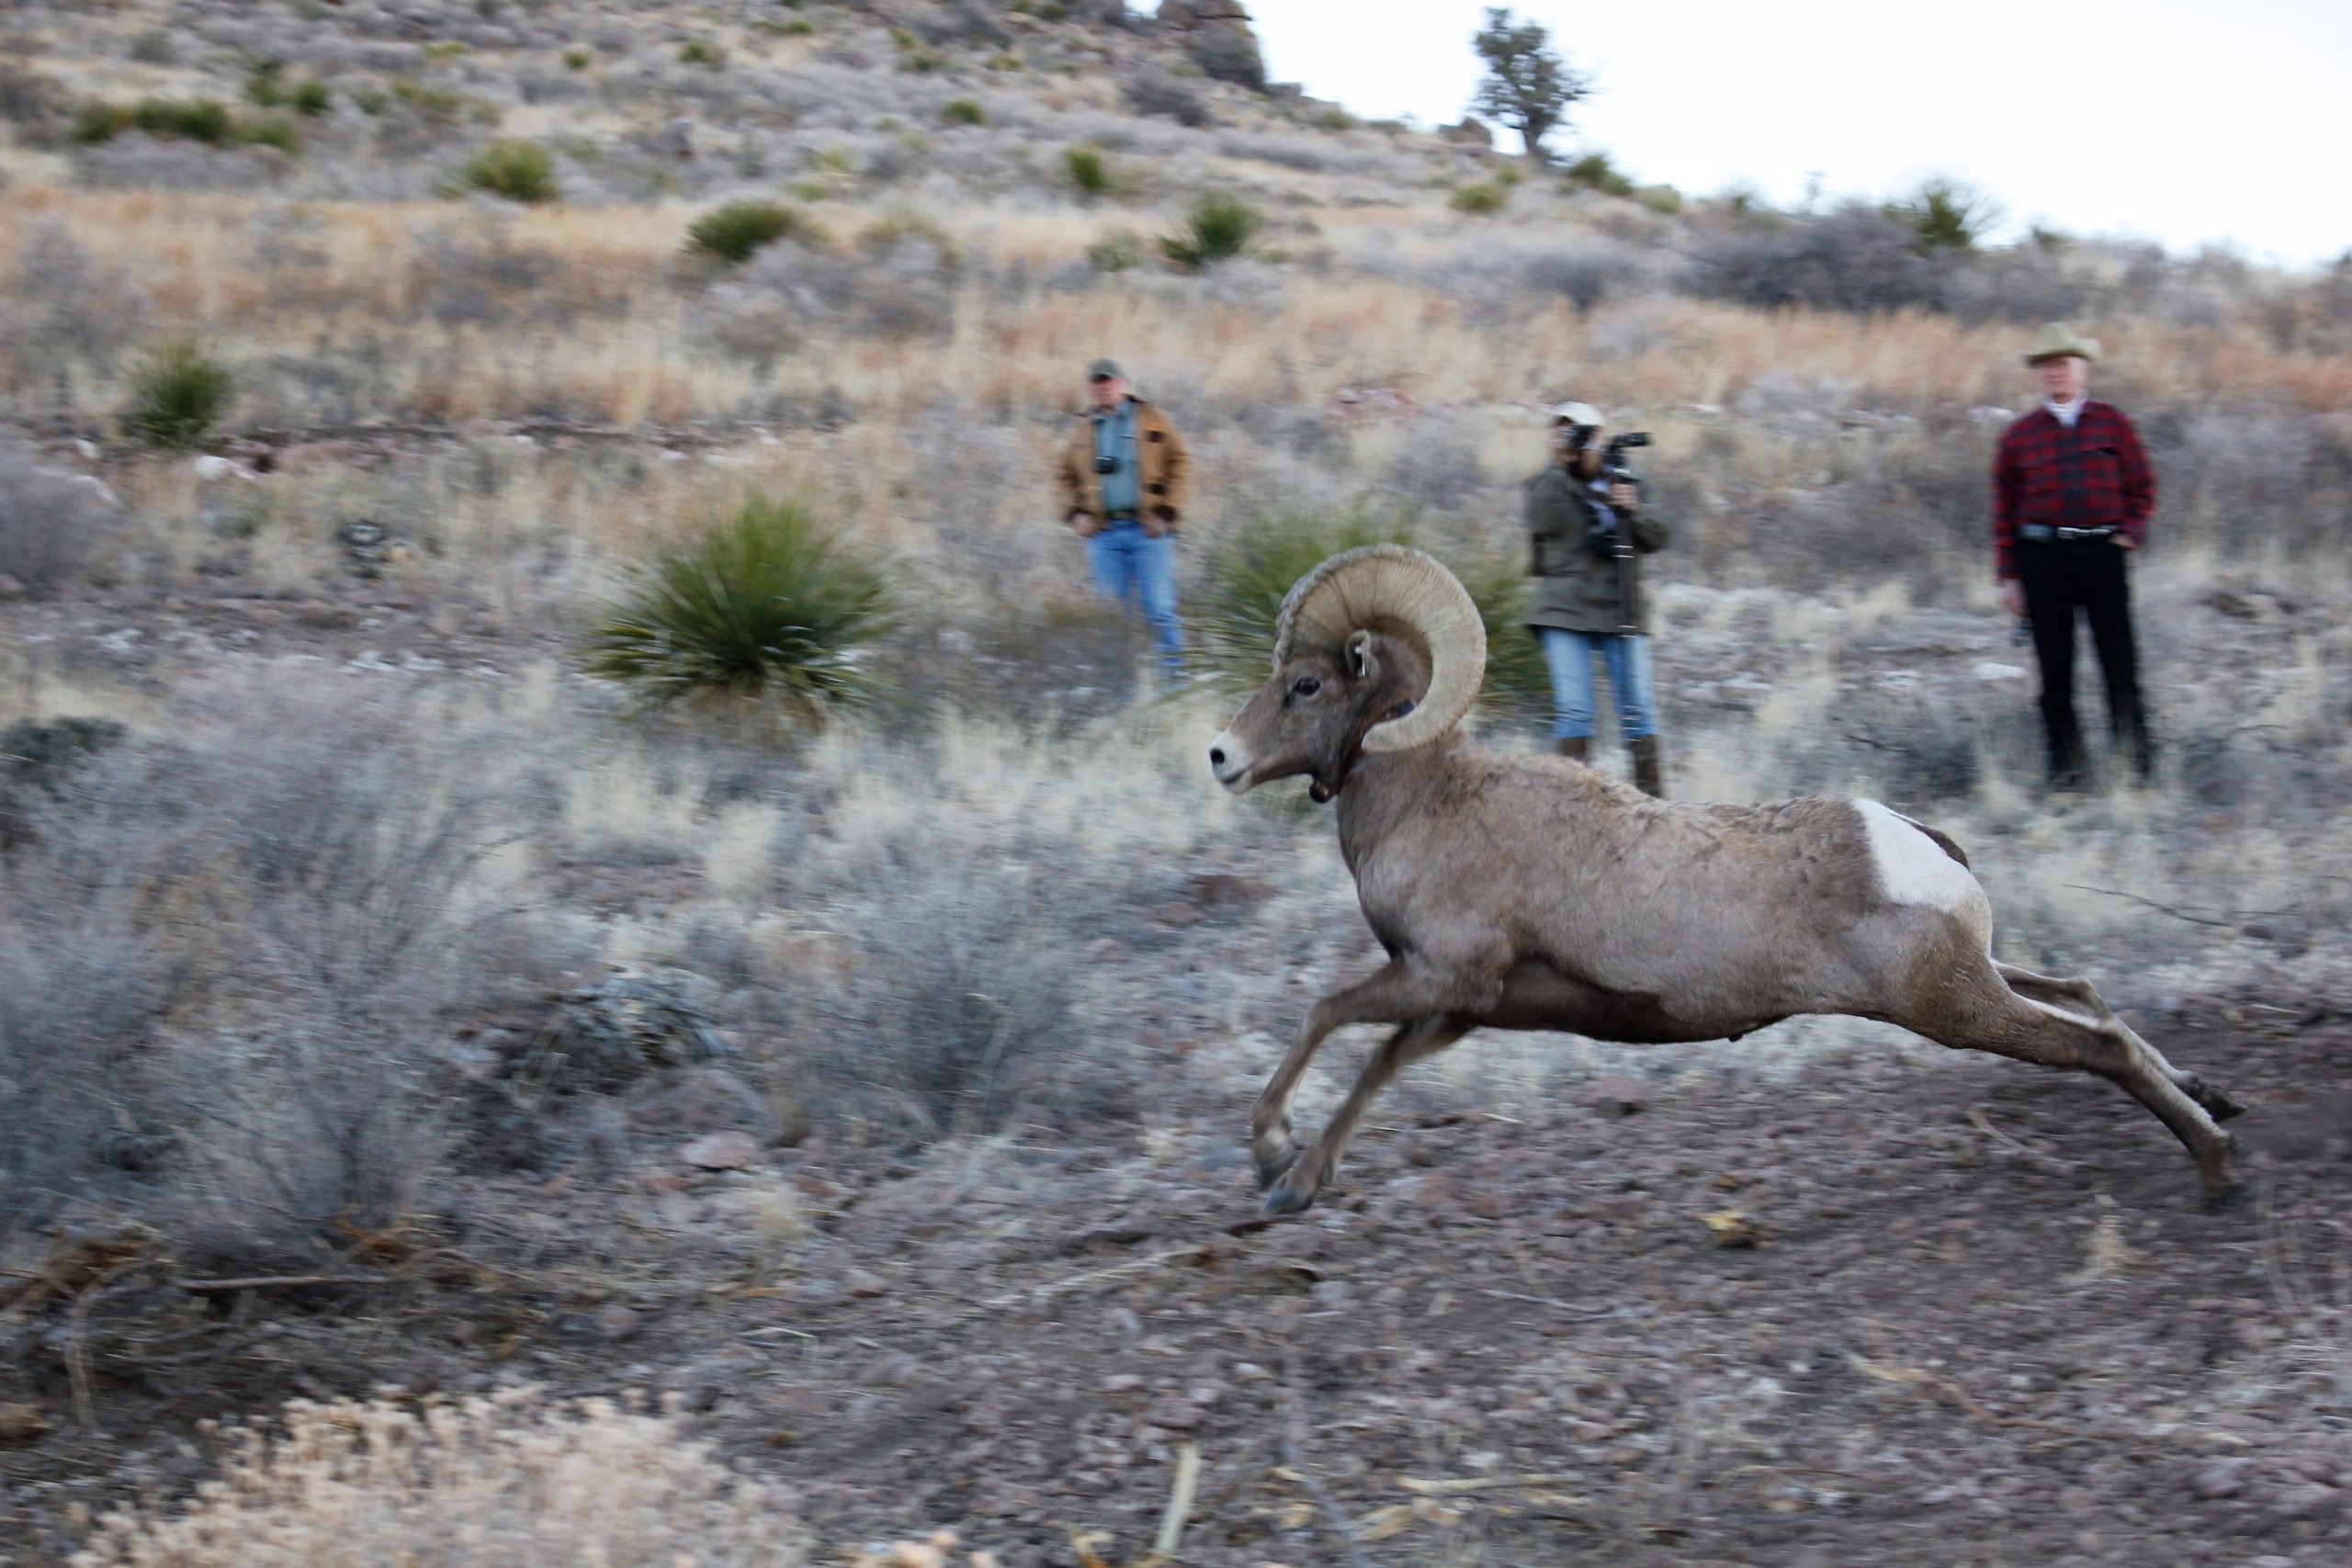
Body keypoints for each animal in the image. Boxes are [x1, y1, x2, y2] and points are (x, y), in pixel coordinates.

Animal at [1213, 545, 2239, 1222]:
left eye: (1306, 685)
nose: (1221, 756)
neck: (1430, 799)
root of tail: (1913, 843)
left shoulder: (1441, 977)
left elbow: (1327, 1016)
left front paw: (1270, 1156)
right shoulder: (1460, 1006)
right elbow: (1376, 1064)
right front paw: (1299, 1180)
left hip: (1951, 1006)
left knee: (2098, 1044)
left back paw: (2219, 1170)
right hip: (1978, 975)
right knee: (2084, 992)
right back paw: (2212, 1101)